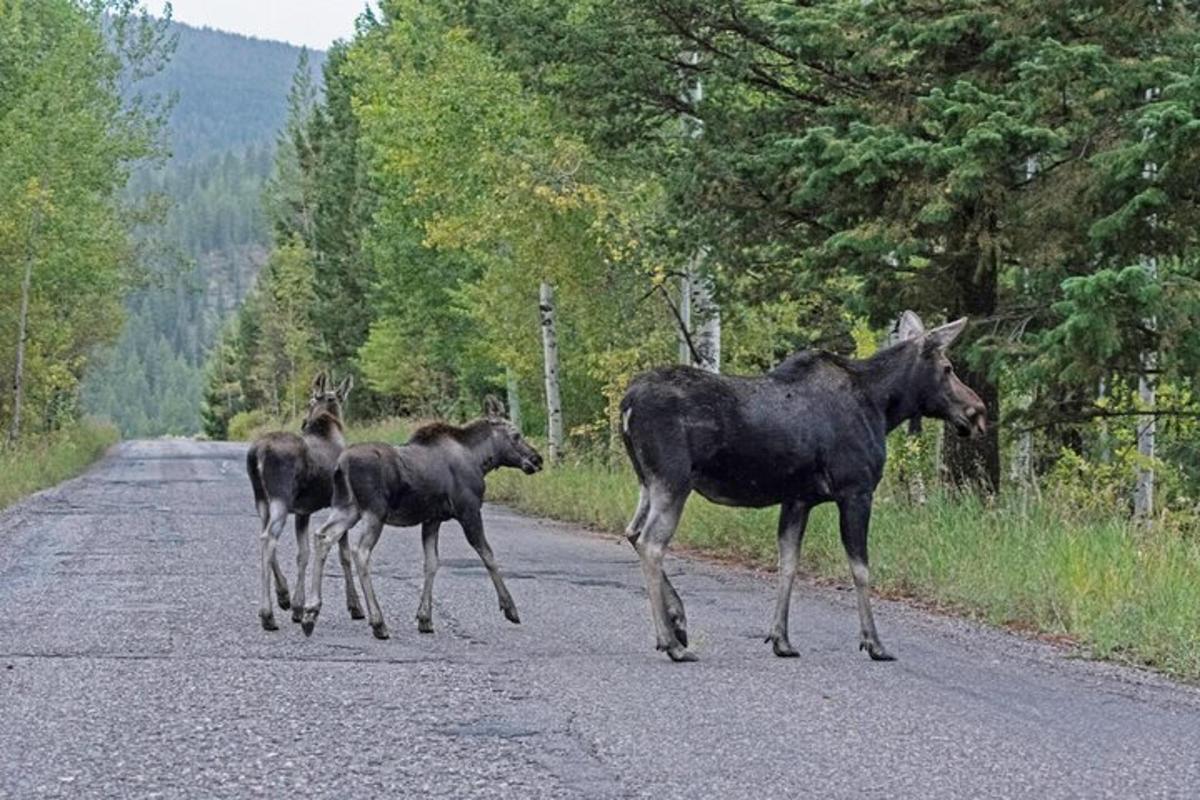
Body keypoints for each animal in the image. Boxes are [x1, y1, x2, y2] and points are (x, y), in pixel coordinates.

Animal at [243, 374, 355, 633]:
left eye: (310, 400)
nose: (303, 422)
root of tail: (257, 453)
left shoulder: (303, 511)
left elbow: (302, 554)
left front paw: (296, 606)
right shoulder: (340, 503)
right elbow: (344, 555)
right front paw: (355, 606)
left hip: (262, 500)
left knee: (263, 535)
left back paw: (282, 596)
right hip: (280, 499)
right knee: (268, 538)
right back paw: (267, 614)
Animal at [300, 398, 544, 642]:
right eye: (516, 435)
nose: (537, 459)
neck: (480, 459)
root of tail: (341, 465)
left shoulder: (432, 519)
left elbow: (431, 563)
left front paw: (425, 618)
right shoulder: (469, 511)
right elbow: (488, 556)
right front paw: (510, 608)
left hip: (348, 508)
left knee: (323, 536)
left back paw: (310, 613)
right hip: (374, 511)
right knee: (360, 552)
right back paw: (378, 622)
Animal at [619, 311, 984, 662]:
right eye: (948, 368)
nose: (978, 412)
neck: (883, 408)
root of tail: (627, 404)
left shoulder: (798, 498)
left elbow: (789, 563)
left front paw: (781, 639)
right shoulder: (856, 491)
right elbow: (861, 569)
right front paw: (874, 642)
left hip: (647, 481)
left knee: (633, 532)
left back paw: (677, 621)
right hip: (673, 480)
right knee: (651, 543)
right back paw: (671, 641)